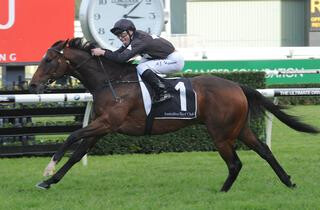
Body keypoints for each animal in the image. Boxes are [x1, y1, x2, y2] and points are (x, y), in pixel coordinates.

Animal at [29, 37, 318, 191]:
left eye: (48, 60)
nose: (32, 85)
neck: (111, 81)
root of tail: (237, 85)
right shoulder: (102, 126)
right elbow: (77, 153)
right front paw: (50, 181)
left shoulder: (107, 122)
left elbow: (71, 137)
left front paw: (47, 168)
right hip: (240, 128)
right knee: (264, 151)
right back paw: (288, 181)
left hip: (221, 134)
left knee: (235, 163)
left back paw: (222, 191)